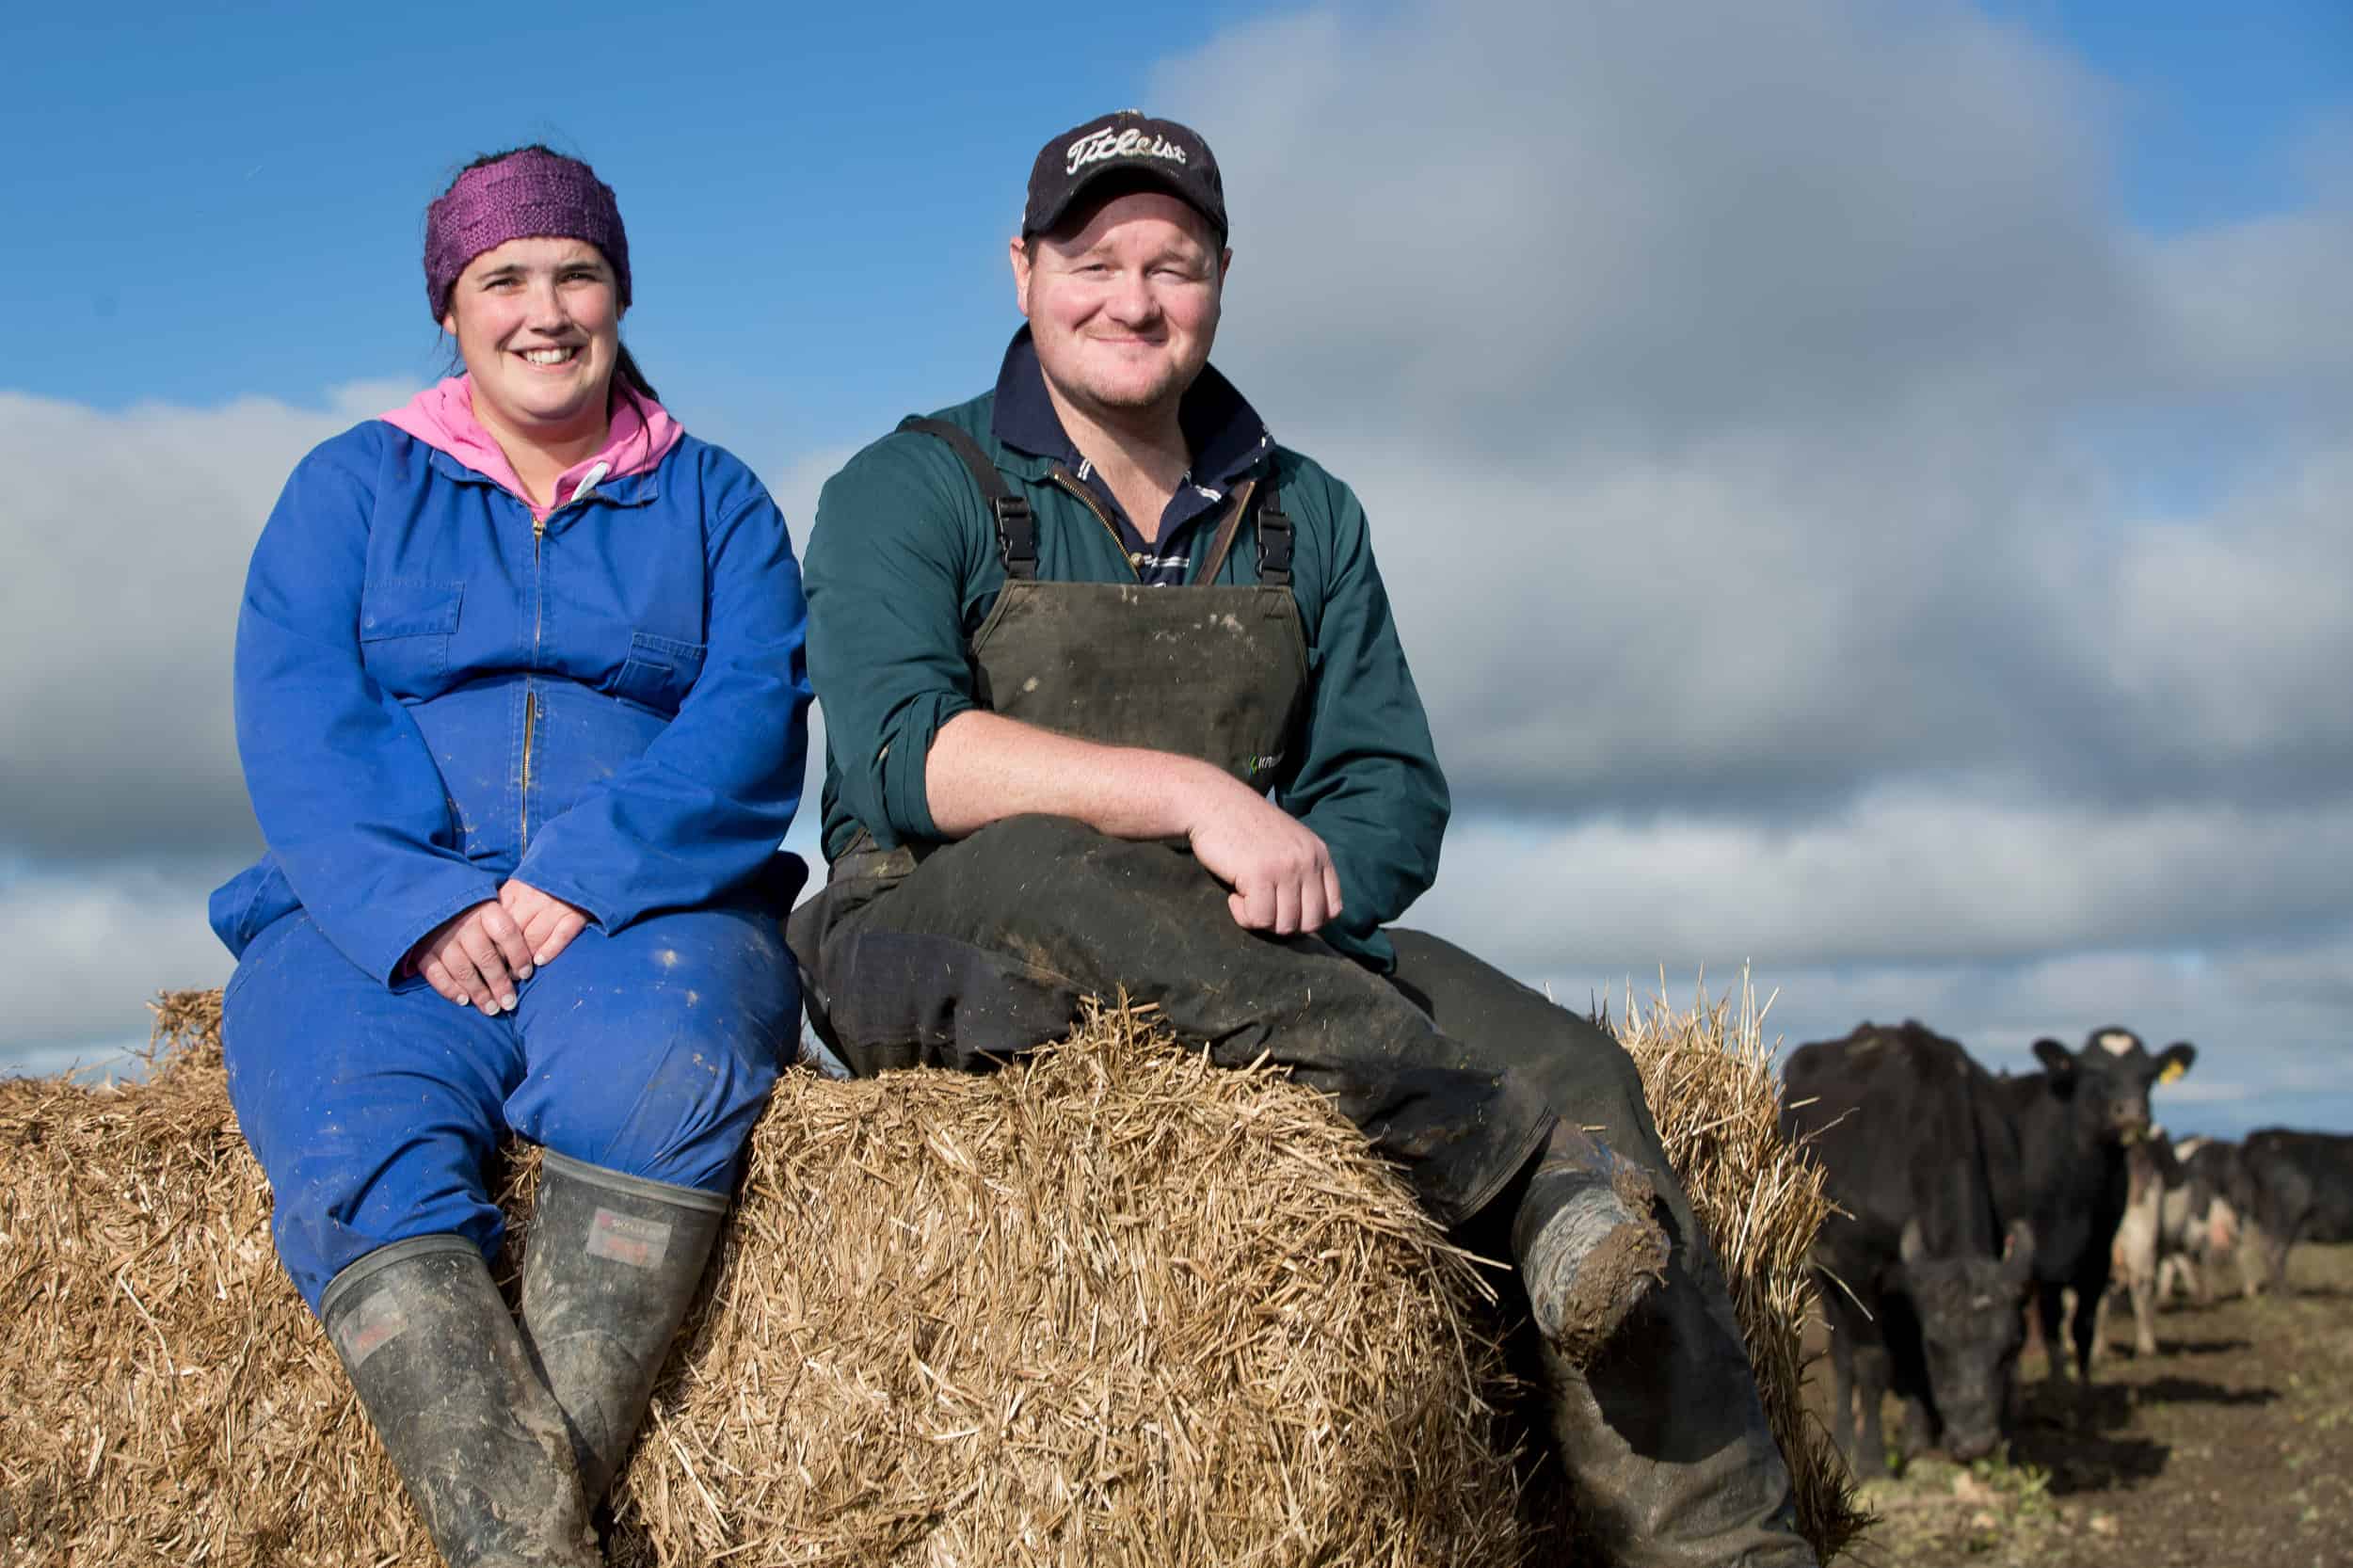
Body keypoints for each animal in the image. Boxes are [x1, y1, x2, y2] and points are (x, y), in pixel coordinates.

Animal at [1769, 1021, 2033, 1468]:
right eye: (1938, 1346)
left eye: (2011, 1347)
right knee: (1844, 1356)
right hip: (1823, 1275)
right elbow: (1873, 1361)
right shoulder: (1857, 1268)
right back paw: (1846, 1437)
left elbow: (1912, 1361)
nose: (1975, 1444)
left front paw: (1919, 1439)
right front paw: (1872, 1458)